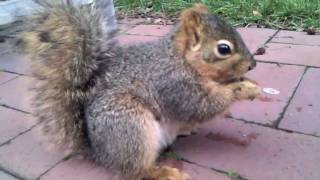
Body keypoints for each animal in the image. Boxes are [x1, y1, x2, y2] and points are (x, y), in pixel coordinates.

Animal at [18, 0, 260, 179]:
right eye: (223, 49)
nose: (252, 65)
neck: (181, 59)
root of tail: (99, 153)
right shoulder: (174, 84)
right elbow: (202, 106)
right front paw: (243, 89)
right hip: (131, 127)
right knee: (135, 171)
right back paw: (163, 172)